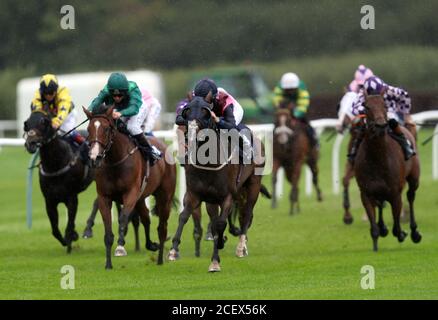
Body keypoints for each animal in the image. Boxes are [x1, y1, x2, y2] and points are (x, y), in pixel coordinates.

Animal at [23, 111, 93, 254]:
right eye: (27, 124)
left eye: (43, 123)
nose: (30, 143)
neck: (56, 163)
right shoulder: (50, 200)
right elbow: (55, 230)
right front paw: (69, 239)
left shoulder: (72, 198)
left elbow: (69, 225)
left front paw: (70, 241)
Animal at [84, 104, 176, 268]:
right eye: (88, 129)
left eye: (106, 129)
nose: (95, 157)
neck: (115, 161)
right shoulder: (104, 197)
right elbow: (108, 231)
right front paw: (108, 264)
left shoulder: (131, 193)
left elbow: (123, 218)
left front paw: (120, 246)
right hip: (141, 199)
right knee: (146, 218)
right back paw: (151, 245)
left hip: (165, 197)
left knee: (162, 227)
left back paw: (160, 259)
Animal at [169, 95, 268, 272]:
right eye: (186, 115)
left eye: (205, 115)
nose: (191, 140)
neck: (208, 164)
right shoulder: (195, 194)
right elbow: (184, 216)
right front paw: (173, 250)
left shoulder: (227, 196)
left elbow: (220, 224)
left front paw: (215, 261)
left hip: (253, 185)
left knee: (246, 214)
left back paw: (241, 247)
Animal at [354, 94, 422, 251]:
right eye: (366, 106)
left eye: (385, 105)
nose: (380, 125)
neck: (377, 157)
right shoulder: (366, 193)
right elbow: (373, 224)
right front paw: (375, 244)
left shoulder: (395, 193)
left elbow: (396, 224)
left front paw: (402, 233)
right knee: (380, 203)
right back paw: (383, 228)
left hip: (414, 179)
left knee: (411, 196)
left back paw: (414, 232)